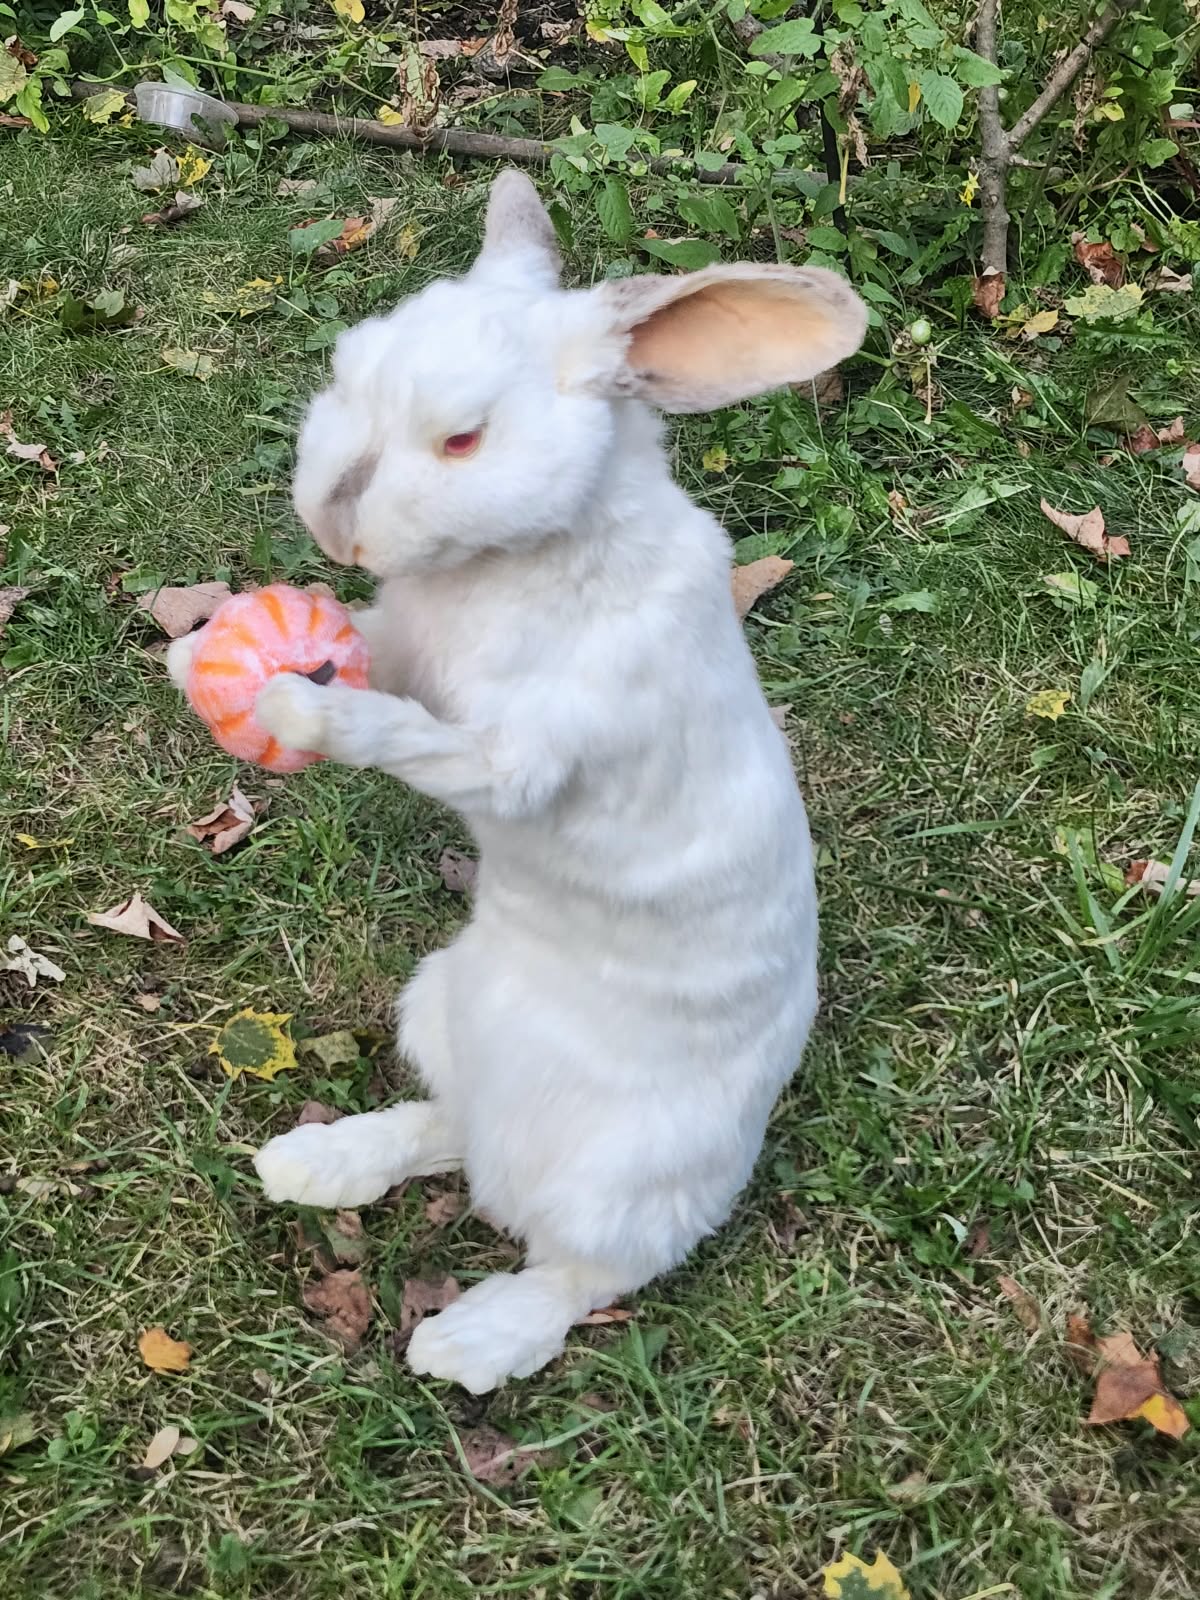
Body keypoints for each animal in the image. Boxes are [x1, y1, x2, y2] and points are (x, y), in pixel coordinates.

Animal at [168, 171, 867, 1393]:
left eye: (462, 438)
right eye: (346, 369)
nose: (332, 523)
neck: (524, 560)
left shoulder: (522, 756)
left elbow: (417, 739)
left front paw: (300, 707)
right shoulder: (406, 644)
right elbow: (369, 647)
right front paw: (198, 650)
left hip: (627, 1182)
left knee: (582, 1273)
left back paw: (465, 1340)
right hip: (437, 1008)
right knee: (451, 1128)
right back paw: (312, 1163)